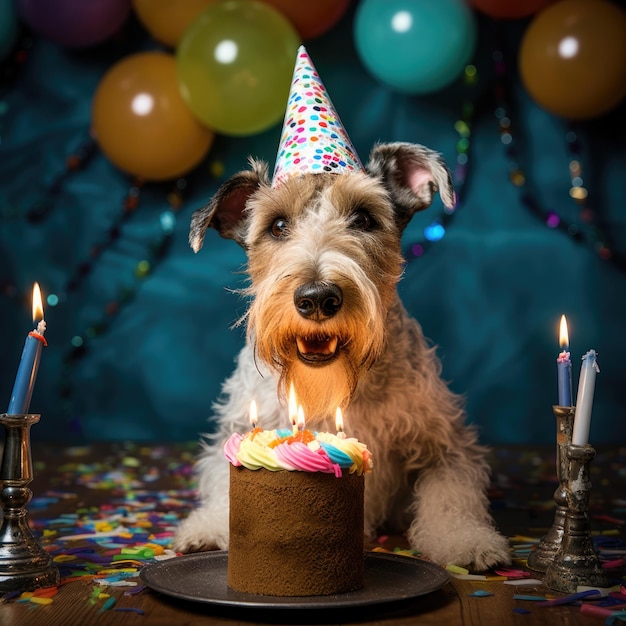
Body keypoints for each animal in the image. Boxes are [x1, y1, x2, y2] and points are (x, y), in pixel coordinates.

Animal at [173, 143, 510, 572]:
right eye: (277, 226)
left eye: (363, 219)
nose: (317, 297)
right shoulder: (233, 431)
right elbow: (221, 485)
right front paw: (208, 527)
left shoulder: (448, 445)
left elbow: (451, 498)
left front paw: (466, 540)